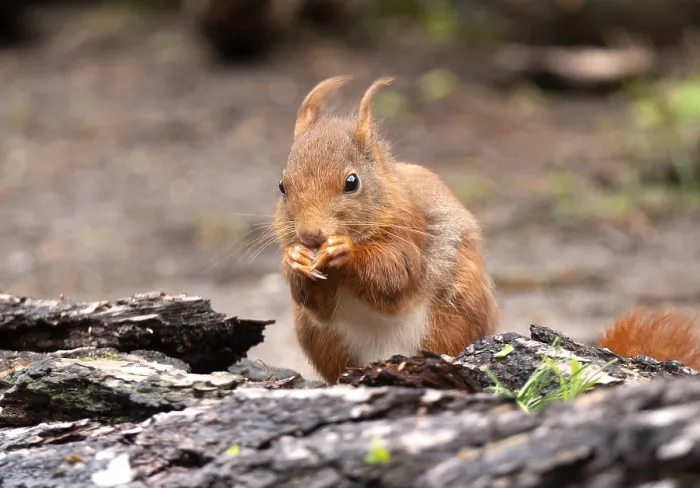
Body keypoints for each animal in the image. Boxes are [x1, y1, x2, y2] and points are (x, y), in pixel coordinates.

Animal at [273, 76, 500, 384]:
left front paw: (344, 250)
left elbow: (395, 273)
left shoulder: (410, 231)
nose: (310, 234)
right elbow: (318, 305)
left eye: (352, 182)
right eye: (282, 186)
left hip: (457, 313)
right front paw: (295, 258)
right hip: (321, 338)